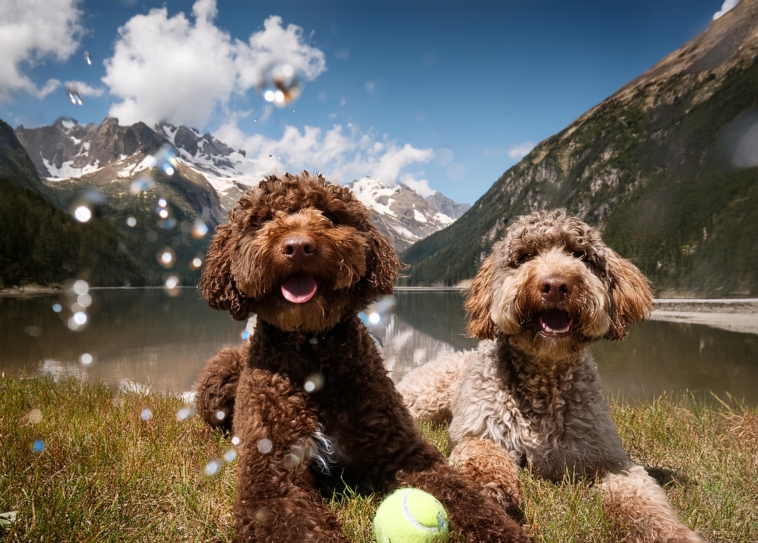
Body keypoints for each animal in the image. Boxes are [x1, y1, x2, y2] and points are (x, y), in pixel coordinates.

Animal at [193, 173, 532, 543]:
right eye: (263, 220)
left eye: (330, 215)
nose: (298, 246)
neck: (312, 354)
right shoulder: (271, 475)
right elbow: (299, 527)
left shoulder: (402, 451)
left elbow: (467, 497)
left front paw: (503, 530)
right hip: (219, 375)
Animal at [398, 209, 708, 543]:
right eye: (525, 256)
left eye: (580, 254)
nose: (556, 285)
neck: (543, 382)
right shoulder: (476, 430)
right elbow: (483, 452)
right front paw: (491, 486)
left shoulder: (609, 459)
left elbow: (640, 497)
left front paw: (668, 531)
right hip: (426, 400)